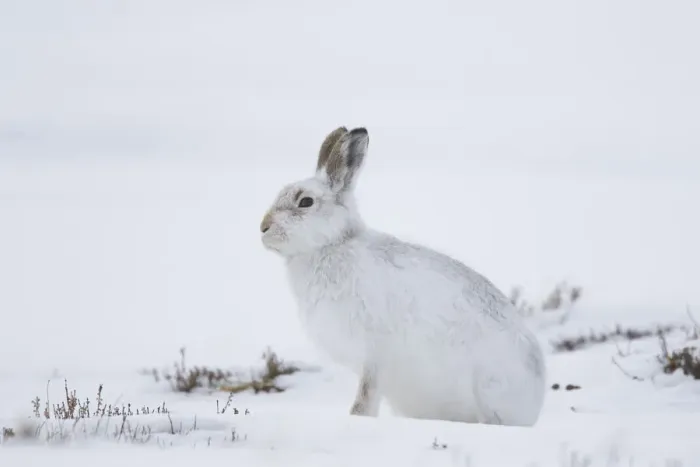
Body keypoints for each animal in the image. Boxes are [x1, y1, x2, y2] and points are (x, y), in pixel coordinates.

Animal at [259, 126, 546, 426]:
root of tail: (534, 404)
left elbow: (365, 398)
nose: (263, 227)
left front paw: (357, 419)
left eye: (305, 202)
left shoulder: (374, 356)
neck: (331, 245)